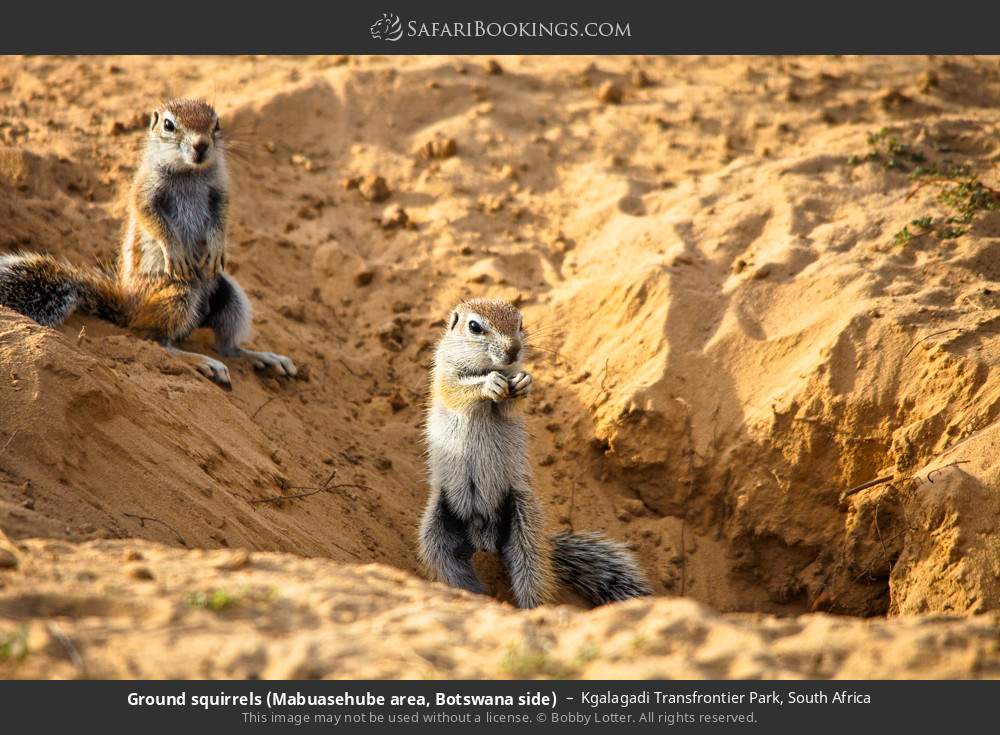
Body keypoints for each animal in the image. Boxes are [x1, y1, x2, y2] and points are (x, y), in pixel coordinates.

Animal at [0, 98, 295, 387]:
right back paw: (201, 361)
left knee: (227, 346)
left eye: (217, 124)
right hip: (179, 293)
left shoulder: (220, 192)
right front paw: (176, 252)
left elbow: (221, 221)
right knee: (155, 340)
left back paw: (264, 357)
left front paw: (216, 249)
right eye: (168, 125)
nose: (201, 145)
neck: (190, 172)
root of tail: (127, 307)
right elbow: (153, 220)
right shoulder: (145, 191)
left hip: (230, 295)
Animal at [419, 298, 651, 608]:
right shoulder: (444, 372)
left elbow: (512, 405)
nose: (513, 350)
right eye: (474, 327)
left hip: (524, 526)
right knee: (452, 568)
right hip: (436, 532)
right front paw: (488, 384)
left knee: (531, 577)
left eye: (520, 323)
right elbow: (455, 390)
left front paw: (524, 382)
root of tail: (484, 540)